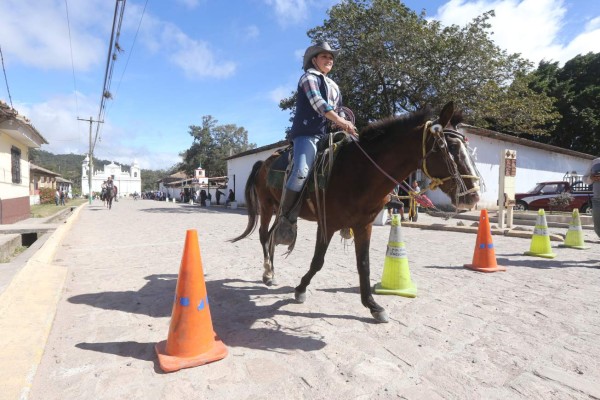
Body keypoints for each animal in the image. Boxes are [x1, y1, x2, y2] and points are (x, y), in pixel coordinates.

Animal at [232, 101, 480, 324]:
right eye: (451, 147)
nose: (473, 196)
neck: (358, 172)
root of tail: (265, 162)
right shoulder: (327, 224)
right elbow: (318, 261)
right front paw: (301, 289)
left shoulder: (364, 226)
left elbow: (364, 265)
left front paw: (373, 306)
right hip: (267, 206)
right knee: (264, 236)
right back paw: (267, 273)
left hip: (280, 210)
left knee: (273, 236)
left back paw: (271, 272)